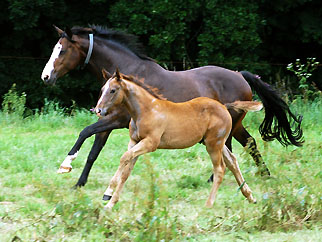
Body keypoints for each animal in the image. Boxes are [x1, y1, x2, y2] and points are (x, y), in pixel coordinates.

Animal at [41, 25, 304, 187]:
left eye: (62, 50)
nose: (45, 77)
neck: (127, 76)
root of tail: (240, 75)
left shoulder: (117, 120)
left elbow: (84, 132)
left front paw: (65, 166)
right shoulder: (106, 120)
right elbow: (94, 151)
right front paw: (79, 183)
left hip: (228, 123)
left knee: (228, 147)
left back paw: (217, 179)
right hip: (234, 124)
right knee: (248, 142)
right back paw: (264, 174)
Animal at [95, 69, 262, 209]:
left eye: (113, 90)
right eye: (102, 89)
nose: (98, 110)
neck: (146, 110)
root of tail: (224, 106)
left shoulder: (150, 143)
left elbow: (124, 158)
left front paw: (108, 193)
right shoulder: (134, 142)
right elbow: (126, 171)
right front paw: (110, 203)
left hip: (213, 145)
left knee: (220, 169)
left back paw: (209, 203)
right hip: (216, 143)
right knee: (232, 161)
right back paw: (250, 196)